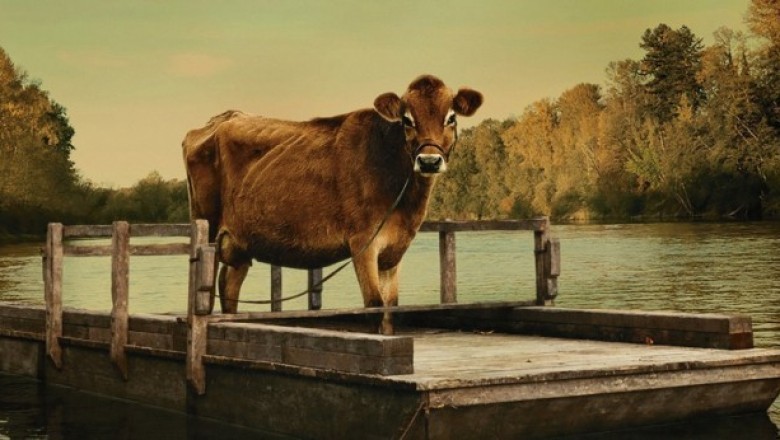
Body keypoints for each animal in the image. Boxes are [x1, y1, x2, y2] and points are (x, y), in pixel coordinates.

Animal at [182, 75, 482, 334]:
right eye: (407, 120)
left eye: (451, 117)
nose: (429, 161)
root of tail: (222, 119)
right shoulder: (363, 243)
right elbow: (373, 306)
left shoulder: (393, 251)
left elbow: (390, 309)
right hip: (208, 228)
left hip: (240, 242)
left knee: (229, 284)